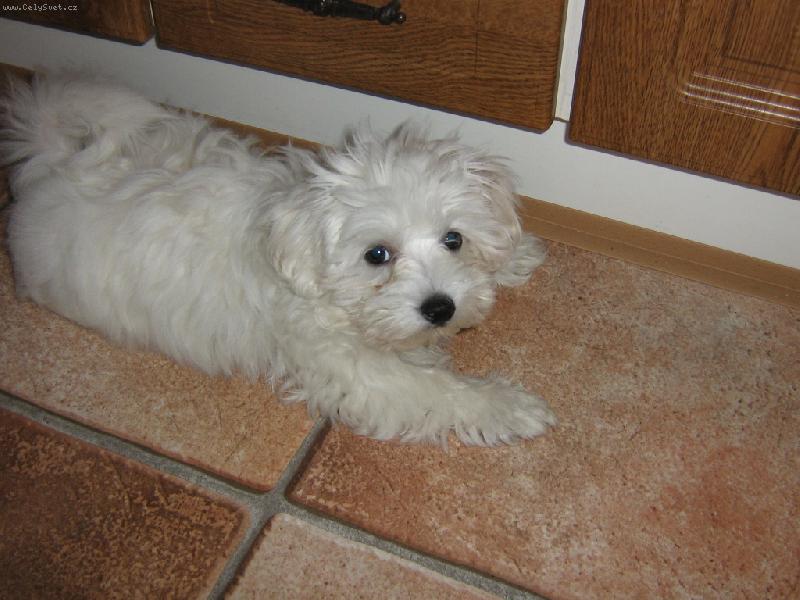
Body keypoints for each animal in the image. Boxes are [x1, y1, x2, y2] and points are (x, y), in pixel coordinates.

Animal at [1, 73, 556, 446]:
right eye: (377, 255)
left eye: (454, 239)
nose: (440, 308)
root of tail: (52, 166)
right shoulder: (349, 366)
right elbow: (433, 389)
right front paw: (508, 407)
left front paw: (514, 254)